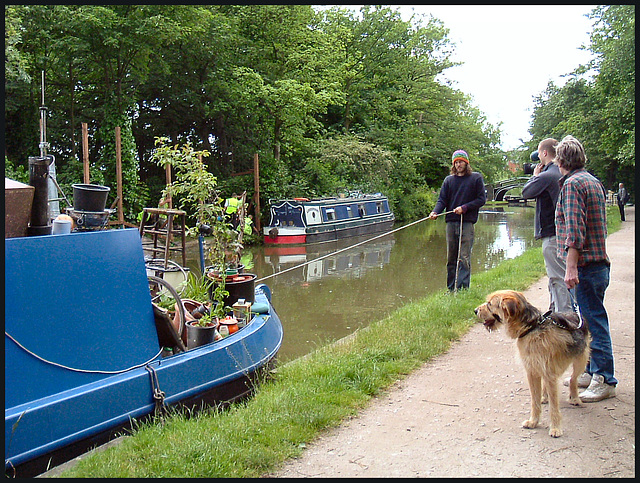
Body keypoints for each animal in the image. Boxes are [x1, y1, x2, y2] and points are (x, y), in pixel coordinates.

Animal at [476, 292, 592, 438]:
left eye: (490, 304)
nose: (475, 310)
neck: (531, 328)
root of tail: (575, 313)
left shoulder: (549, 372)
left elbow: (554, 406)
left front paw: (555, 428)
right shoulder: (532, 371)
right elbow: (534, 401)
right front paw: (533, 422)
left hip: (581, 360)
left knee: (573, 379)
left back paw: (575, 398)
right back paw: (545, 396)